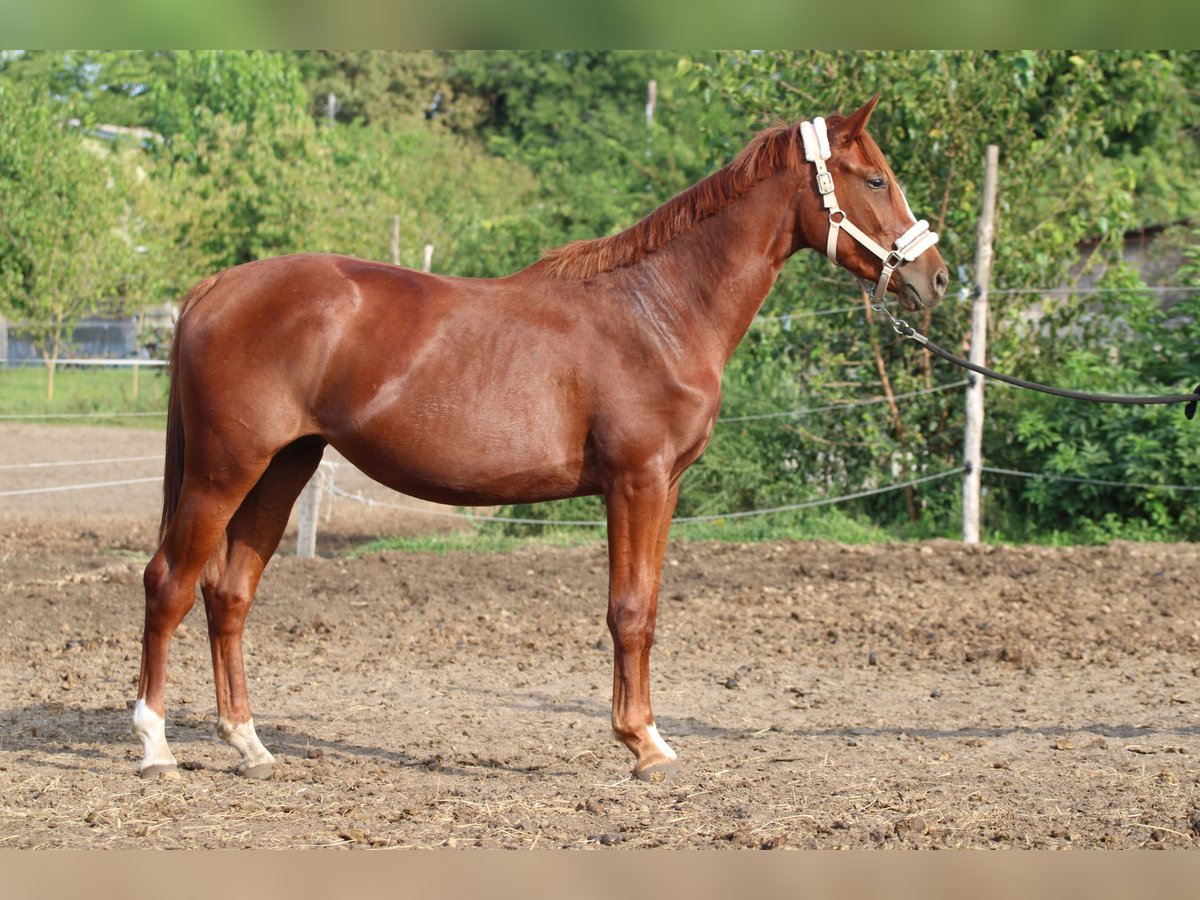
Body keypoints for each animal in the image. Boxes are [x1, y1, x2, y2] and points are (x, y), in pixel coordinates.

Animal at [133, 96, 948, 783]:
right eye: (876, 178)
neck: (658, 310)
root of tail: (216, 287)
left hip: (283, 468)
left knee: (229, 593)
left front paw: (646, 736)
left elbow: (648, 608)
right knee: (168, 583)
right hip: (223, 471)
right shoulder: (636, 481)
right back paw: (155, 746)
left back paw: (249, 744)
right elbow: (629, 612)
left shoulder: (665, 486)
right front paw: (643, 745)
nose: (935, 279)